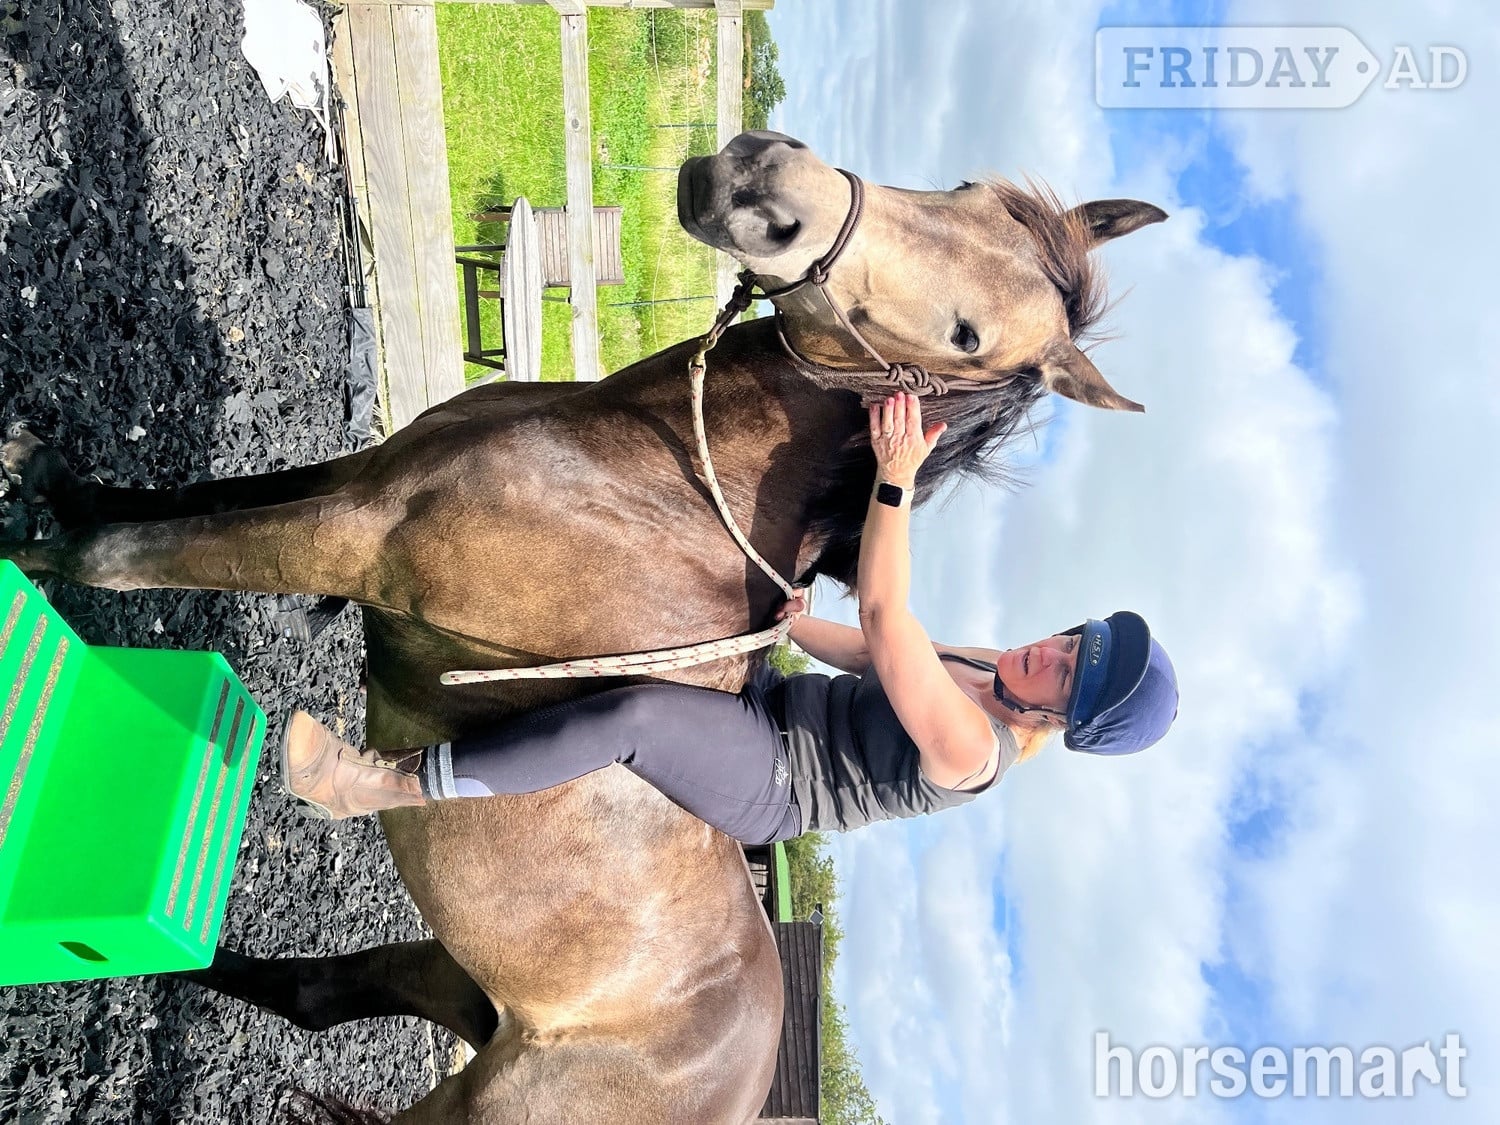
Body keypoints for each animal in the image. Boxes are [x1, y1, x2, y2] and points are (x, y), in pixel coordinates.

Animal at [0, 131, 1165, 1122]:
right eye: (961, 190)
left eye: (969, 338)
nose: (760, 182)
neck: (659, 476)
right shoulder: (364, 481)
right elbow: (208, 494)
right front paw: (53, 478)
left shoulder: (353, 536)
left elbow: (133, 554)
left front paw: (32, 555)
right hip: (459, 976)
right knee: (319, 998)